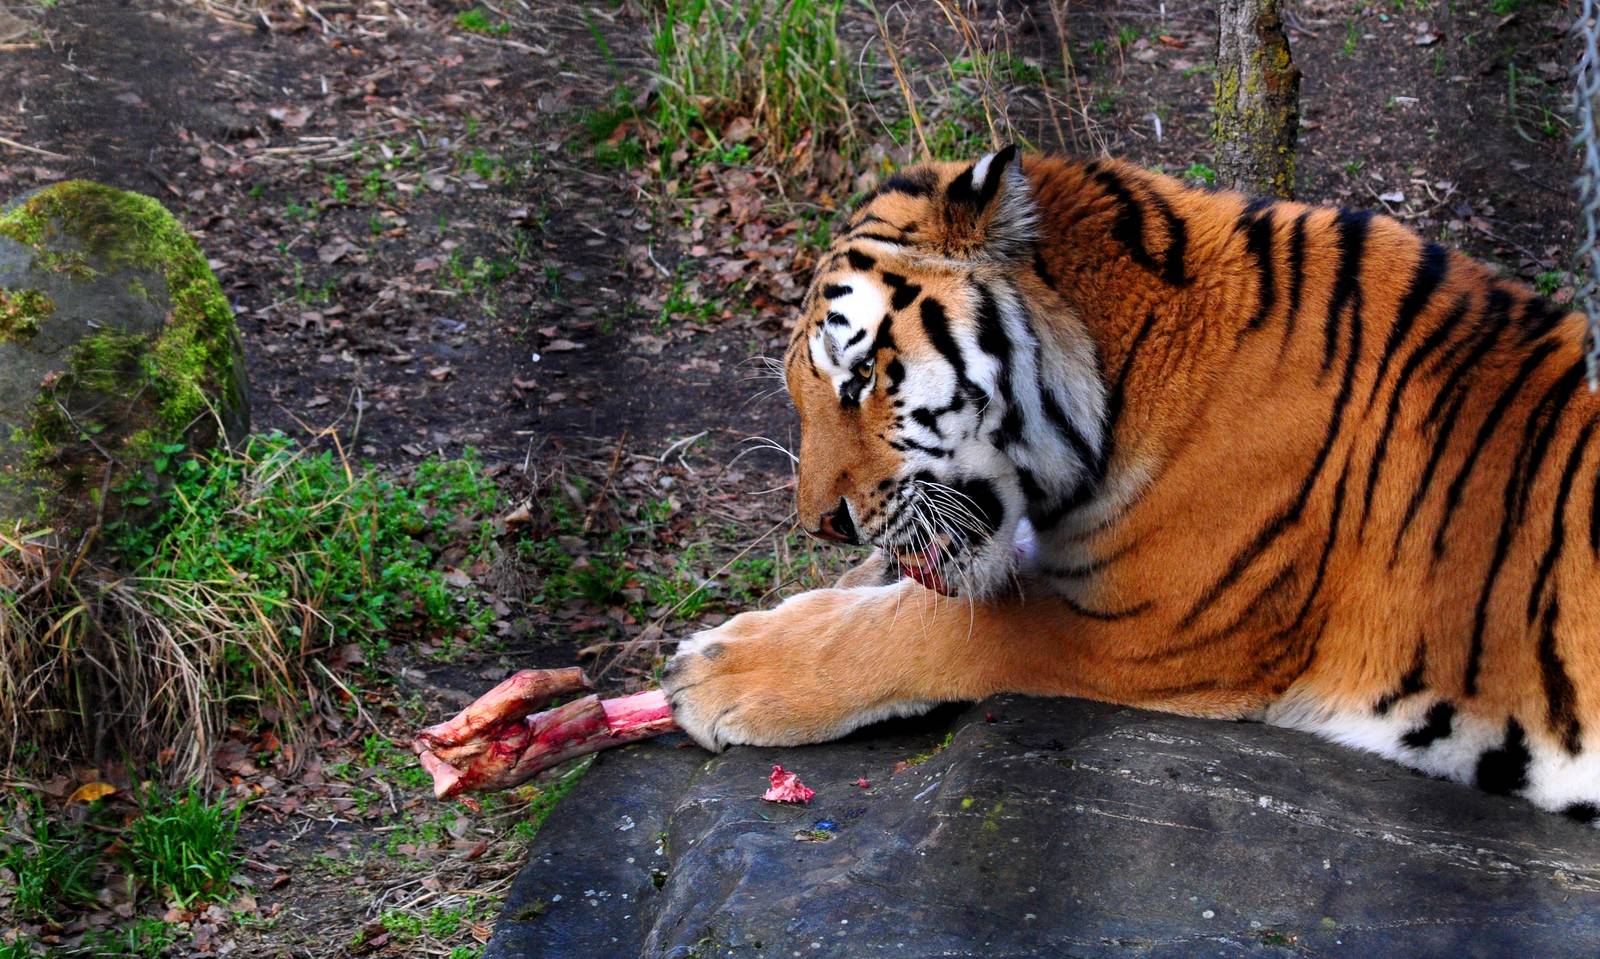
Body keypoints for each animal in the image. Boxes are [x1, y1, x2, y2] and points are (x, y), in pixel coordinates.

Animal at [660, 146, 1600, 822]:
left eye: (857, 377)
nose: (823, 524)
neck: (1127, 367)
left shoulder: (1137, 623)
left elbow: (929, 629)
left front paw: (713, 671)